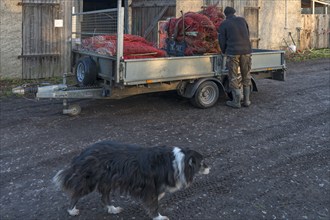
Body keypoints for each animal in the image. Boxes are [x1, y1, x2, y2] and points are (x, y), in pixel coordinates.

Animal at [52, 142, 210, 219]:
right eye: (202, 163)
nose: (210, 168)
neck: (177, 162)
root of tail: (84, 152)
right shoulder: (150, 188)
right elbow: (154, 204)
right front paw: (158, 217)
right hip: (90, 181)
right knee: (76, 193)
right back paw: (72, 210)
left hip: (107, 181)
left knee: (104, 197)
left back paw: (112, 209)